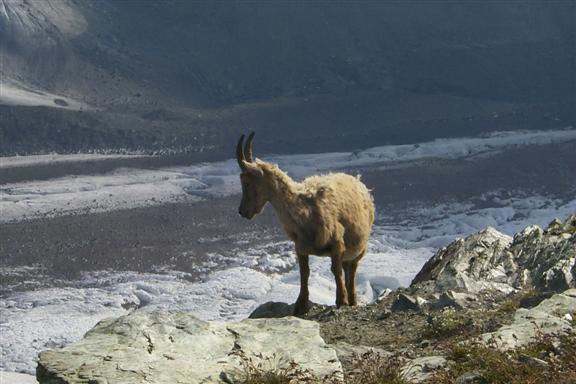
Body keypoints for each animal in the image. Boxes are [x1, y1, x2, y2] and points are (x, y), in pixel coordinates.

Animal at [236, 133, 376, 316]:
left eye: (247, 183)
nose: (242, 211)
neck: (305, 210)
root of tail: (360, 183)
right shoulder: (300, 248)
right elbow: (304, 273)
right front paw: (300, 304)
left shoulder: (337, 243)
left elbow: (335, 270)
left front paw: (341, 301)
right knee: (347, 268)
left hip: (359, 248)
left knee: (351, 270)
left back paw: (351, 299)